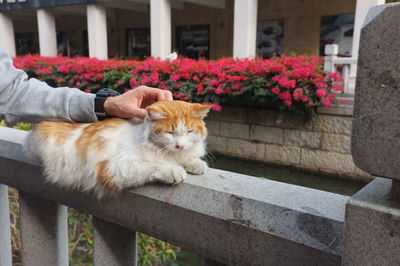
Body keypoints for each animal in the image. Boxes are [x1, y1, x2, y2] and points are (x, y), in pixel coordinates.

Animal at [24, 101, 212, 198]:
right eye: (170, 132)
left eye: (189, 131)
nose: (180, 145)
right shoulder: (113, 169)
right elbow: (152, 165)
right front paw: (174, 171)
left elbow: (187, 157)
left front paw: (196, 163)